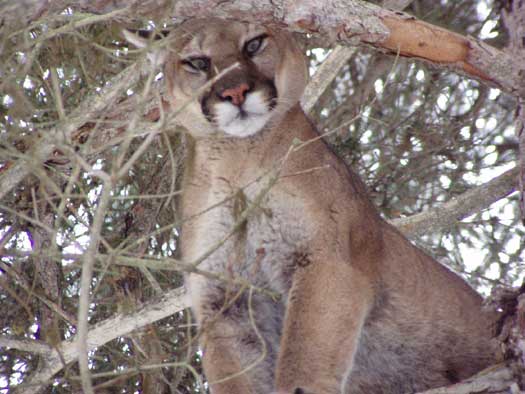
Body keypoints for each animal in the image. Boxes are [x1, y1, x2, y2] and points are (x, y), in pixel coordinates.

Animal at [125, 17, 498, 394]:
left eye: (254, 44)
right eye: (197, 62)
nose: (235, 93)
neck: (238, 160)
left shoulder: (325, 260)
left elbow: (302, 359)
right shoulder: (224, 299)